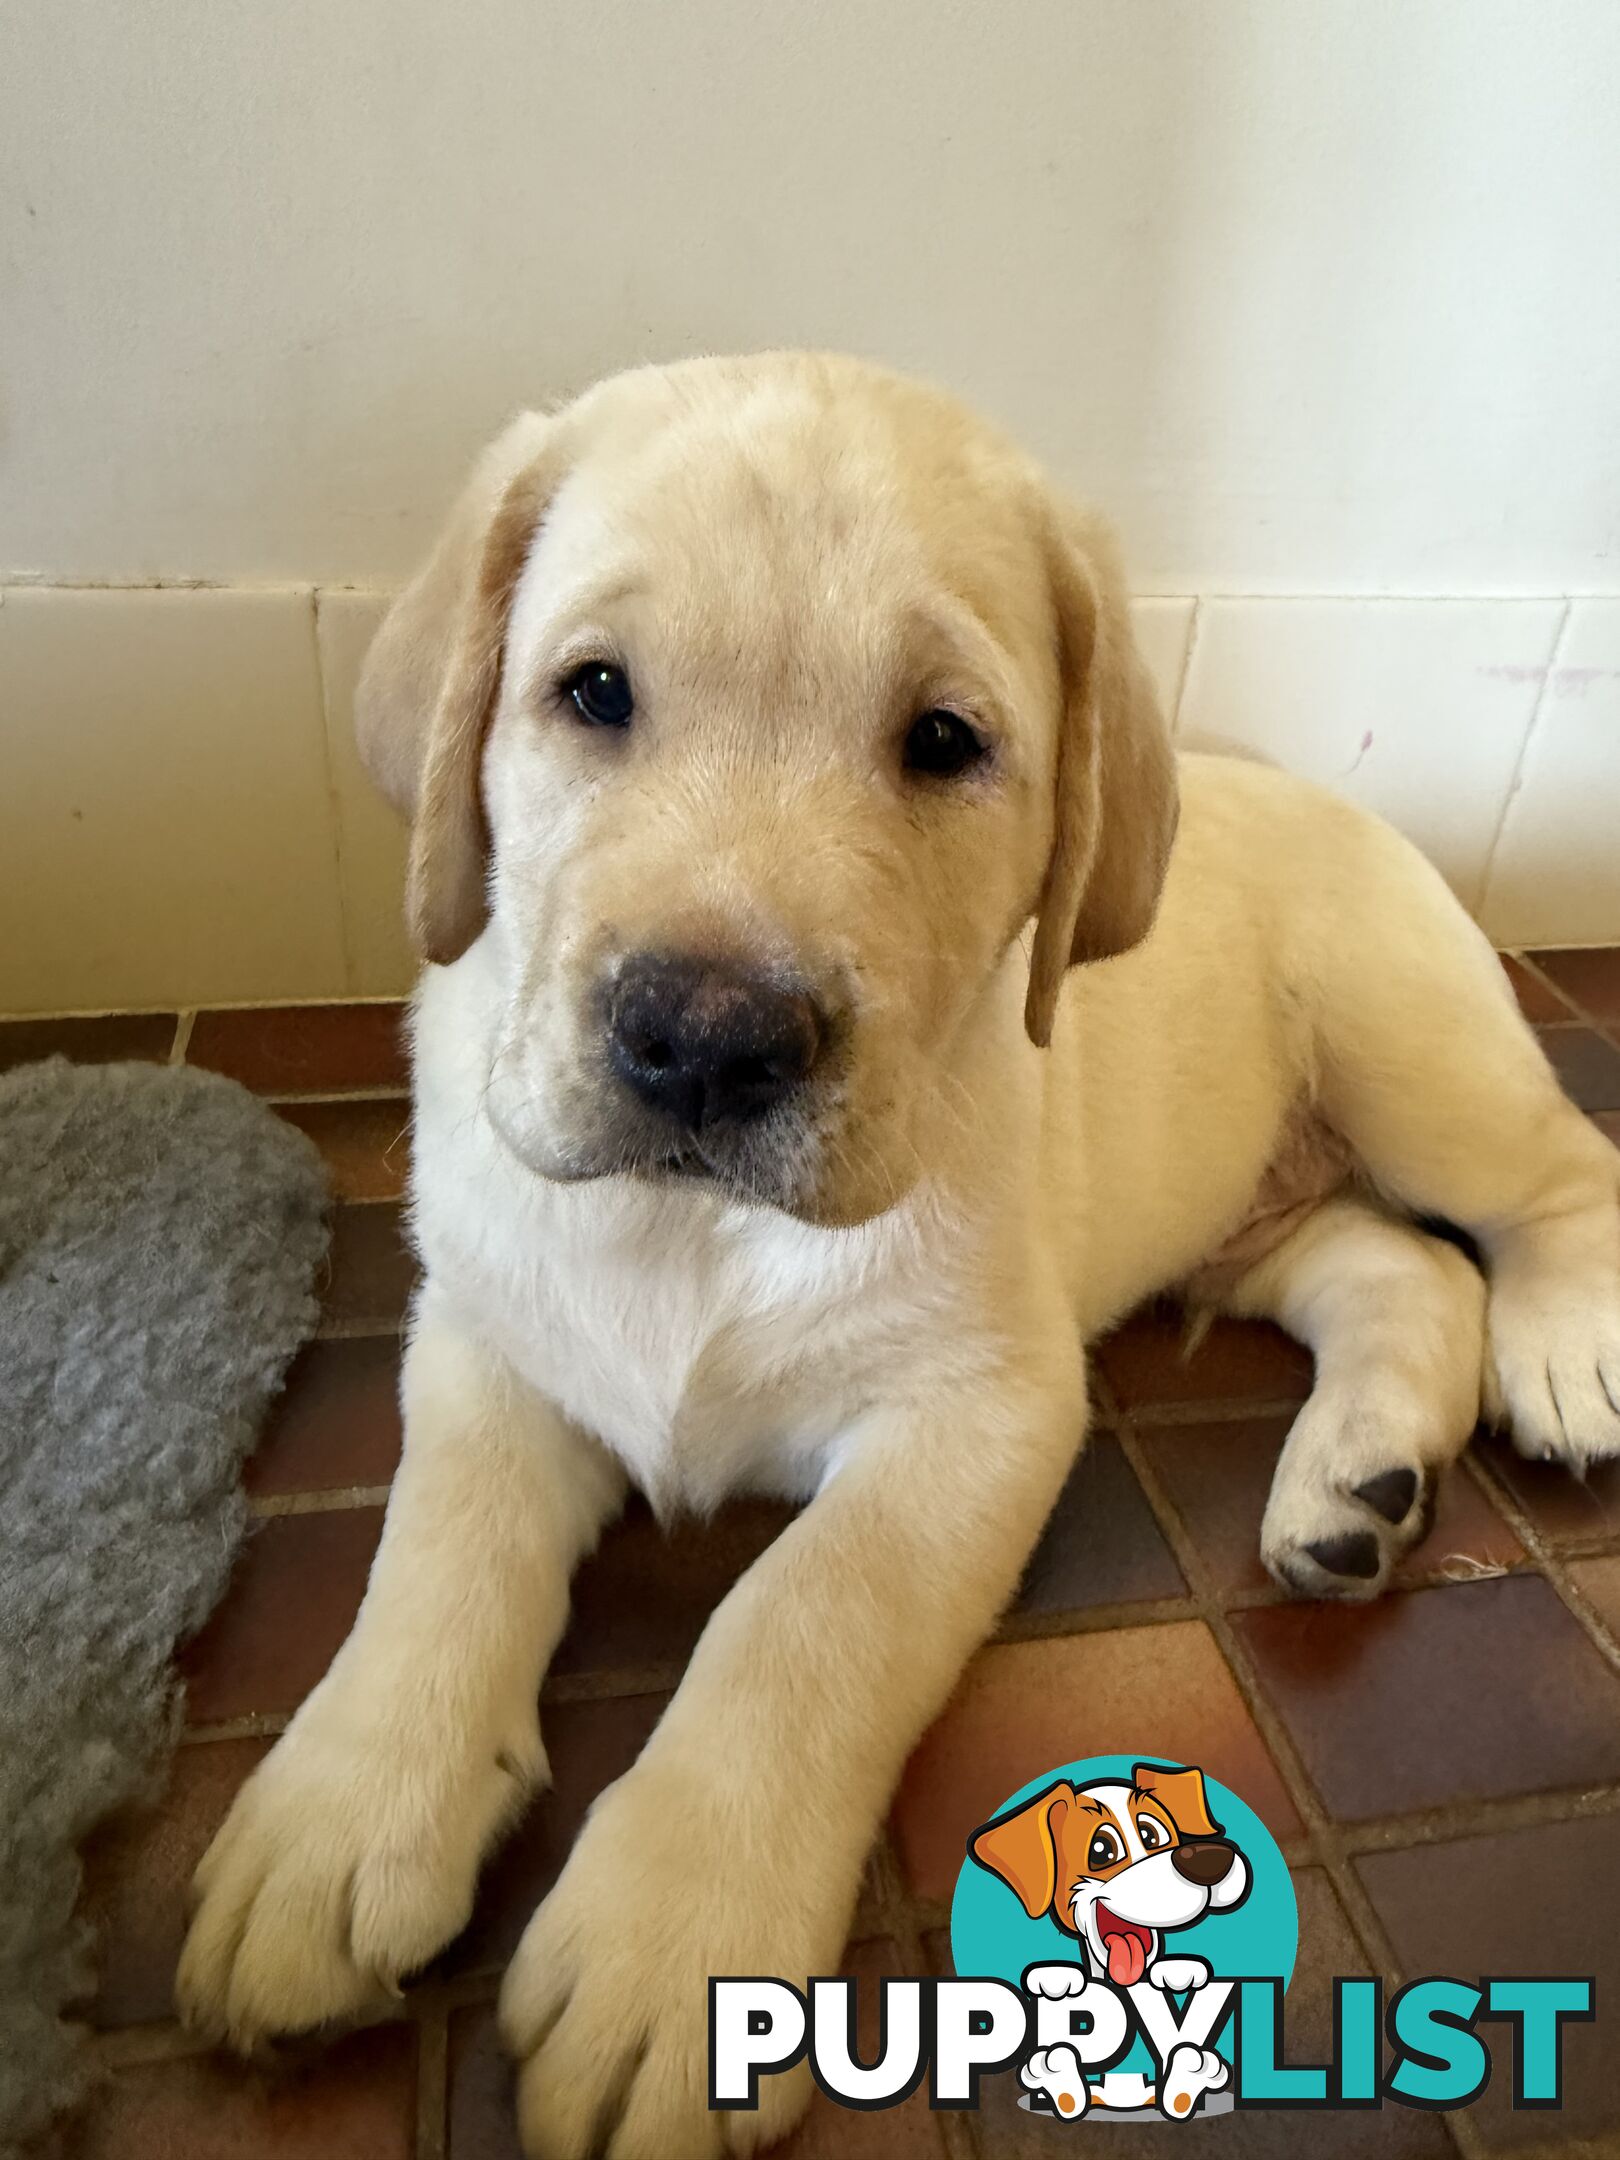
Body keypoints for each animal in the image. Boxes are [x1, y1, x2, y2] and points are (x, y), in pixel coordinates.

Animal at [180, 358, 1620, 2160]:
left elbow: (804, 1611)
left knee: (1549, 1183)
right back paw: (1354, 1489)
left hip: (1410, 1051)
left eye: (946, 741)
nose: (706, 1041)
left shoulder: (986, 1407)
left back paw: (1566, 1346)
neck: (694, 1223)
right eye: (594, 693)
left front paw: (678, 1946)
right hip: (1243, 1213)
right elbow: (435, 1549)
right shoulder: (487, 1334)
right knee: (1400, 1273)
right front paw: (341, 1812)